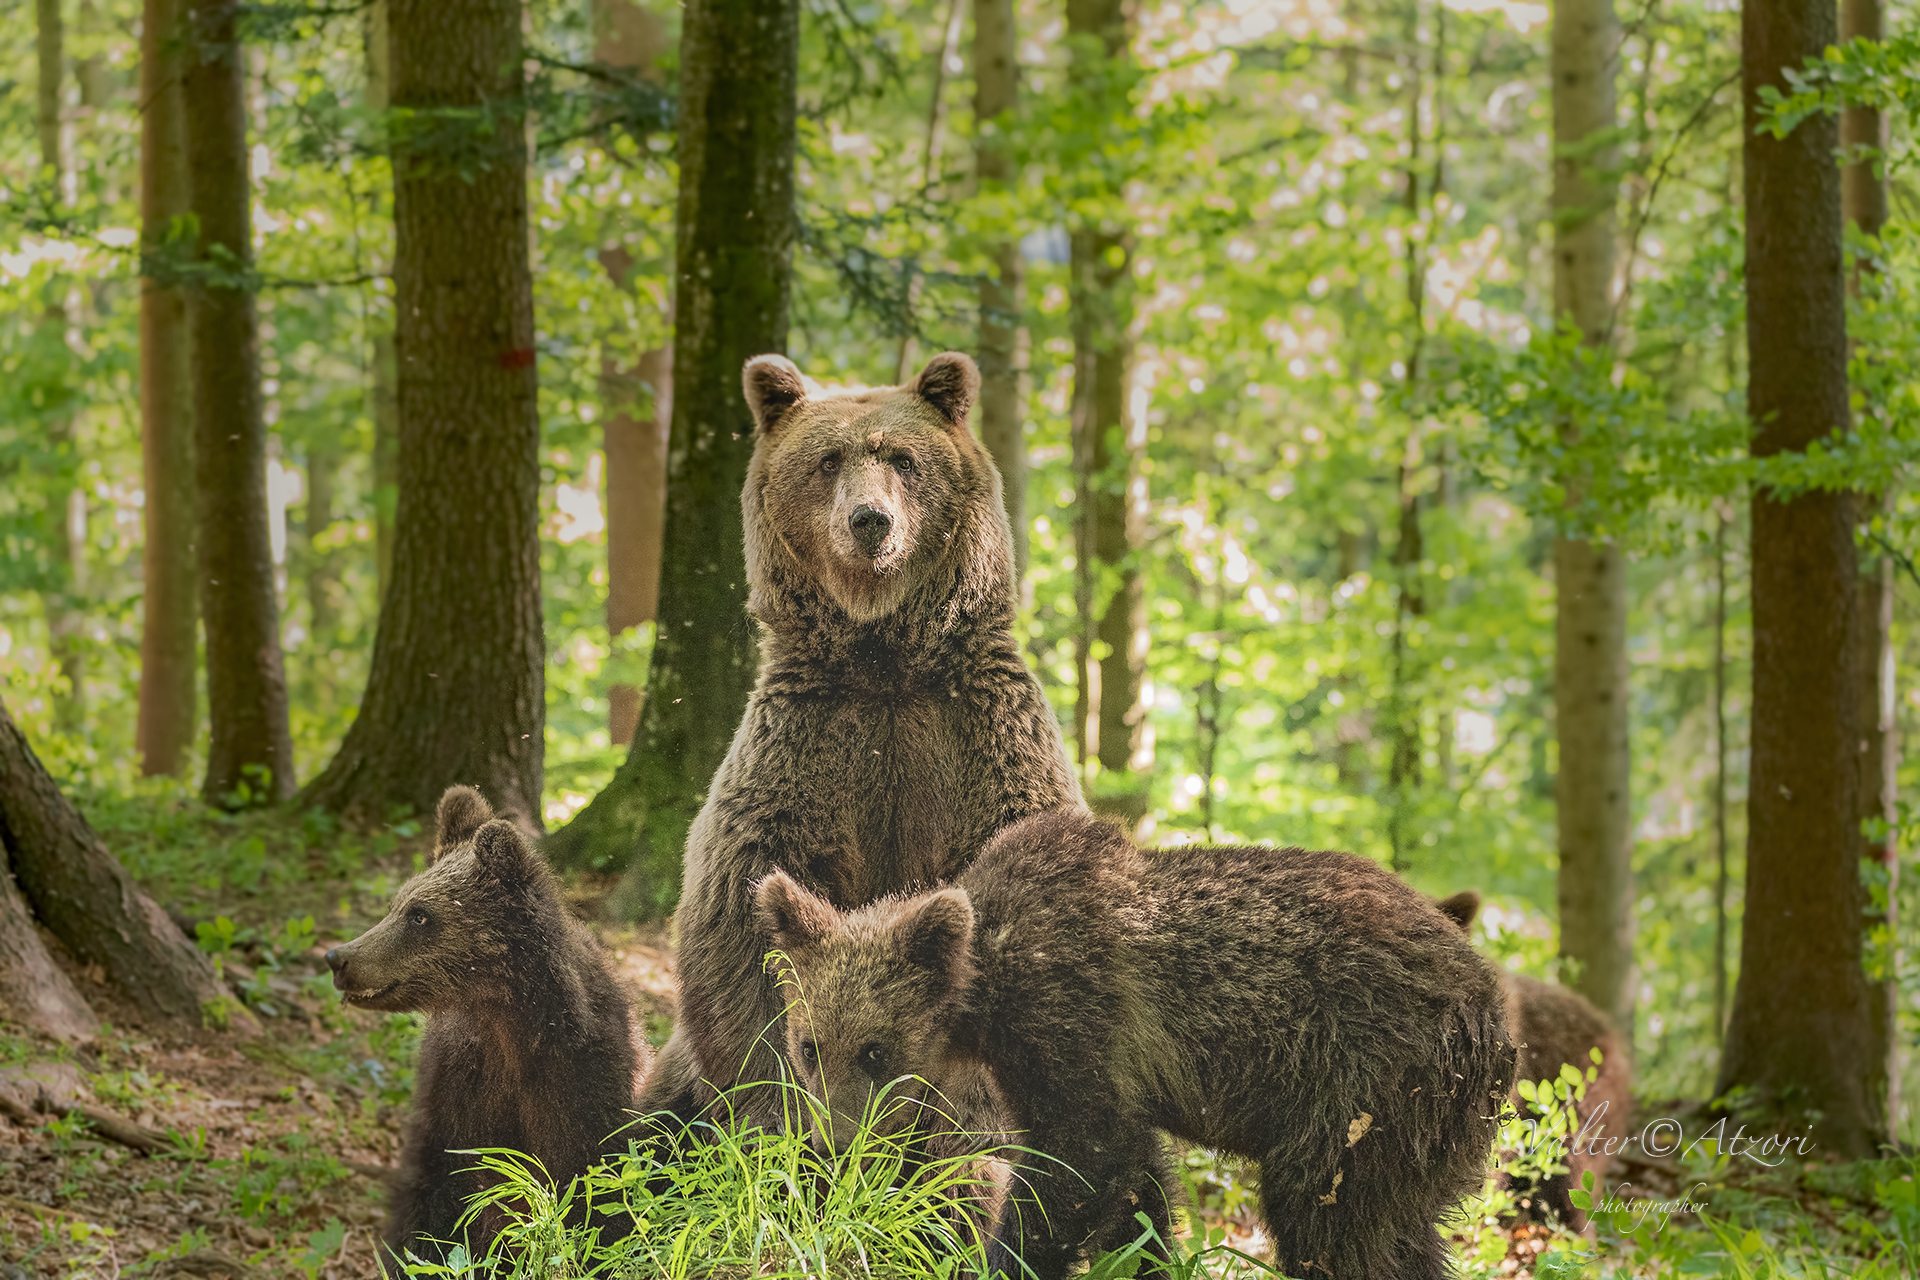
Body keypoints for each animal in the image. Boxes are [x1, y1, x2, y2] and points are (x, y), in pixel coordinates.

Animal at [326, 787, 644, 1272]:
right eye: (397, 905)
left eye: (420, 915)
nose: (339, 958)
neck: (510, 1027)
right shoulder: (459, 1086)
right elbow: (434, 1199)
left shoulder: (577, 1084)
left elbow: (587, 1185)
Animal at [639, 350, 1081, 1133]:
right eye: (828, 459)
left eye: (903, 458)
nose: (869, 520)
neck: (886, 663)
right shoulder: (805, 751)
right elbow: (751, 927)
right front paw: (784, 1112)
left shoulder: (980, 741)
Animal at [756, 808, 1516, 1280]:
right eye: (809, 1046)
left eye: (875, 1051)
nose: (830, 1147)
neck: (984, 996)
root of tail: (1490, 993)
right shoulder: (1102, 1075)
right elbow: (1135, 1187)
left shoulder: (1073, 1019)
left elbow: (1078, 1164)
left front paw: (1005, 1258)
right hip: (1417, 1129)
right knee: (1404, 1231)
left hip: (1366, 1085)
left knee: (1329, 1217)